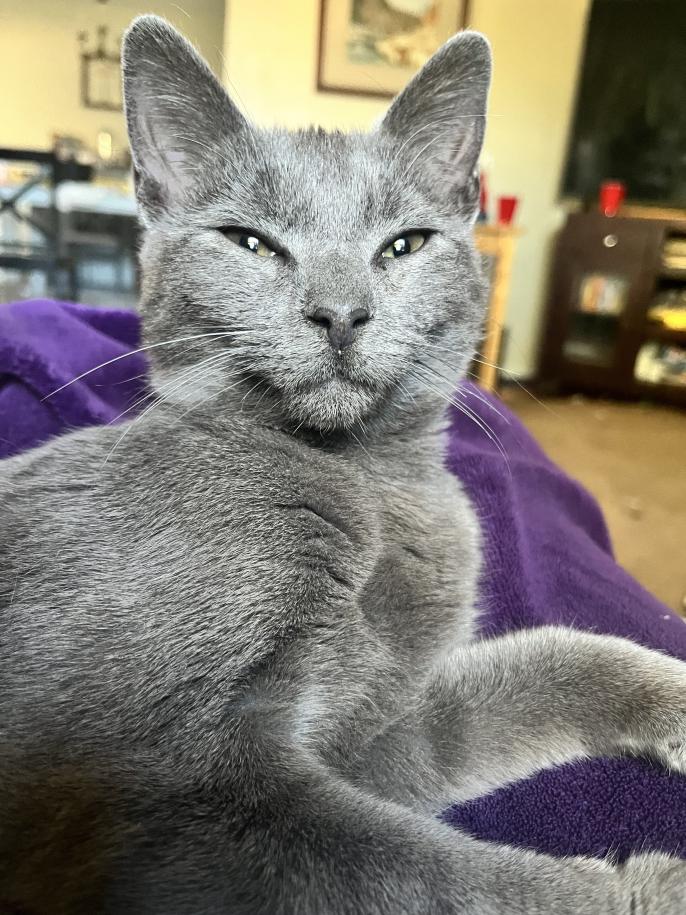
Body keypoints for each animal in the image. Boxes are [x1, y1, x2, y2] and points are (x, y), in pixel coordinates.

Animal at [0, 14, 685, 914]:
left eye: (404, 245)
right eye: (251, 243)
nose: (340, 313)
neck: (369, 486)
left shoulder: (384, 722)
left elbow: (548, 658)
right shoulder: (172, 782)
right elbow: (429, 871)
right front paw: (649, 889)